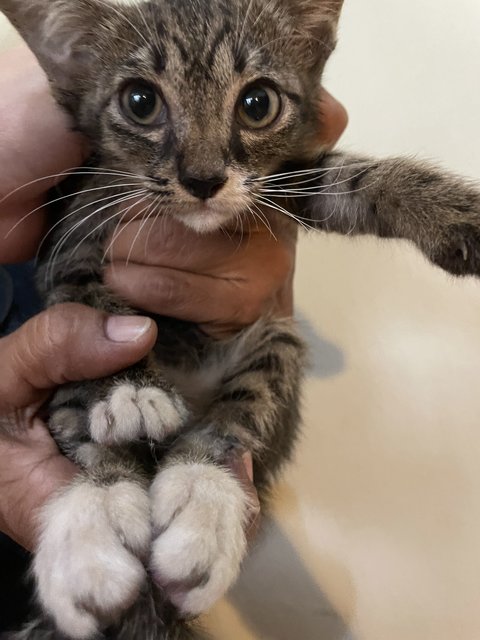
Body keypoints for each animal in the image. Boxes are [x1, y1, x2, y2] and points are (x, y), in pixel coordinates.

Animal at [0, 1, 478, 640]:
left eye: (258, 104)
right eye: (139, 102)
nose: (203, 179)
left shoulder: (281, 182)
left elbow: (351, 180)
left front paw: (453, 214)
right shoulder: (72, 221)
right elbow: (85, 297)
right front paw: (129, 385)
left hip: (274, 337)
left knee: (241, 405)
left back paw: (201, 503)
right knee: (90, 438)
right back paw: (94, 525)